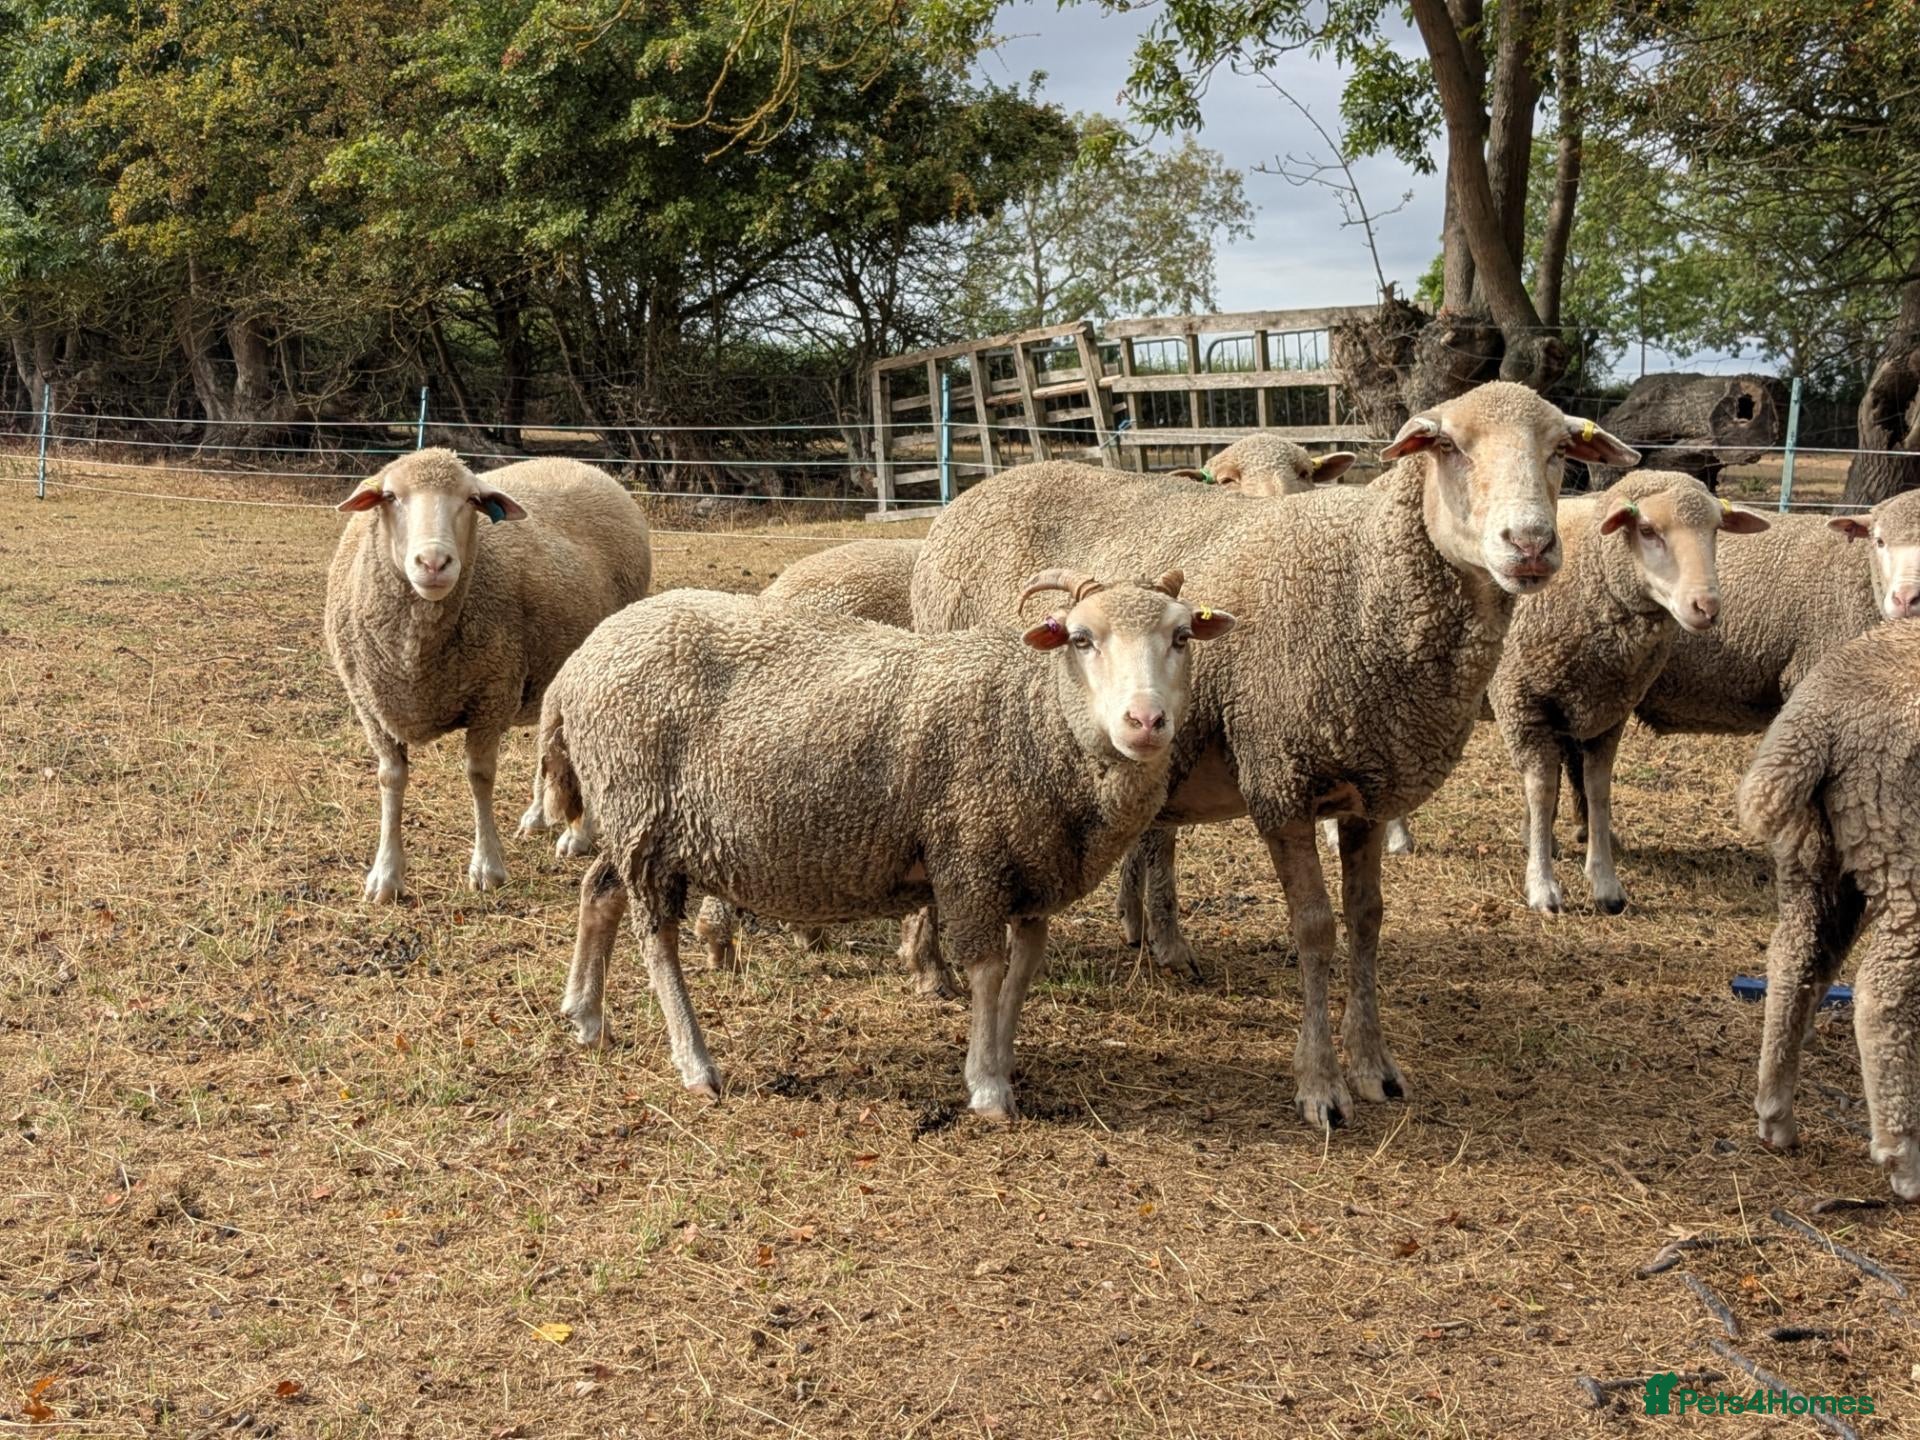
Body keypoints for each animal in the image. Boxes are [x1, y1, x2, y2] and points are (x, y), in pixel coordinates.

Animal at [325, 448, 651, 901]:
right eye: (390, 496)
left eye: (470, 500)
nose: (434, 562)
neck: (415, 649)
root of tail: (580, 463)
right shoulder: (371, 706)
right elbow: (391, 779)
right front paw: (385, 875)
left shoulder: (490, 695)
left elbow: (479, 777)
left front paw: (487, 867)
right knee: (549, 741)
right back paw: (537, 815)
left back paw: (578, 835)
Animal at [911, 381, 1638, 1128]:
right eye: (1446, 445)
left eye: (1561, 449)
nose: (1531, 543)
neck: (1361, 578)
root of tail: (970, 495)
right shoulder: (1279, 780)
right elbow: (1314, 927)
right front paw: (1320, 1086)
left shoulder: (1367, 792)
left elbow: (1367, 919)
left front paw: (1374, 1066)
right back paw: (933, 968)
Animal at [1482, 472, 1769, 914]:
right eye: (1647, 530)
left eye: (1716, 530)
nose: (1707, 607)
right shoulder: (1522, 700)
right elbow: (1542, 790)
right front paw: (1543, 885)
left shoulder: (1606, 712)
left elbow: (1598, 790)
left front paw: (1605, 883)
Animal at [1736, 619, 1920, 1200]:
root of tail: (1820, 714)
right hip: (1903, 847)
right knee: (1883, 995)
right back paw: (1904, 1160)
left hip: (1816, 853)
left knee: (1794, 960)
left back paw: (1775, 1114)